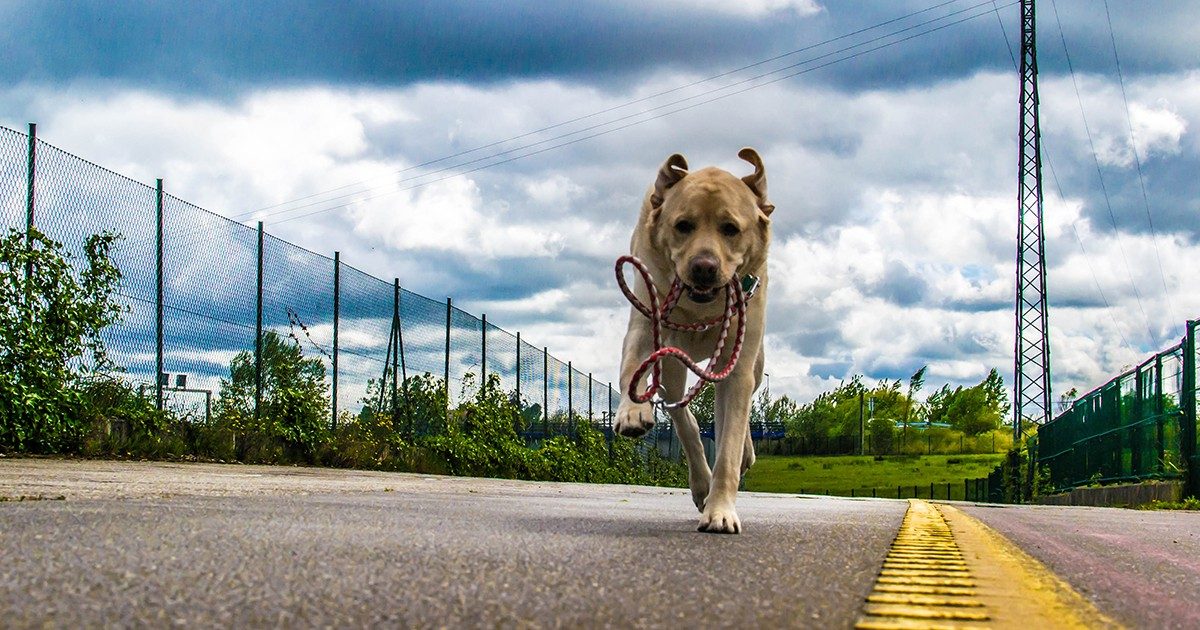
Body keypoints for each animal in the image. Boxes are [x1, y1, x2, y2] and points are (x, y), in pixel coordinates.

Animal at [614, 147, 772, 530]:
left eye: (731, 229)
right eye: (682, 225)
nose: (704, 267)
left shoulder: (739, 363)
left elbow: (728, 445)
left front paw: (721, 511)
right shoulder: (646, 324)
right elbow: (633, 370)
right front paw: (632, 411)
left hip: (754, 364)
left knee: (735, 416)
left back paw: (743, 454)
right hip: (673, 366)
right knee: (685, 417)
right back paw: (701, 483)